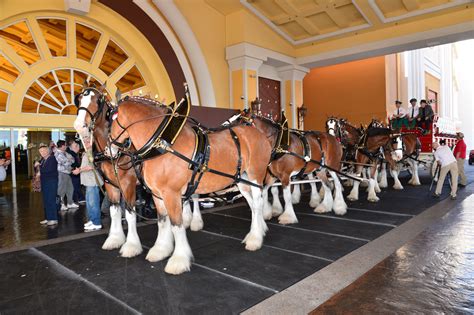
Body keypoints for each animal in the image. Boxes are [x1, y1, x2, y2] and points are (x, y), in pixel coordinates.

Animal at [108, 97, 270, 276]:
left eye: (111, 119)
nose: (109, 150)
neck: (163, 146)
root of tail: (260, 135)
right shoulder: (158, 195)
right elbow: (162, 221)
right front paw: (160, 250)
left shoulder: (171, 194)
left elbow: (176, 225)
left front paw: (178, 260)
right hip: (242, 180)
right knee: (253, 205)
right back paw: (257, 231)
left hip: (256, 176)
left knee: (258, 203)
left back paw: (255, 239)